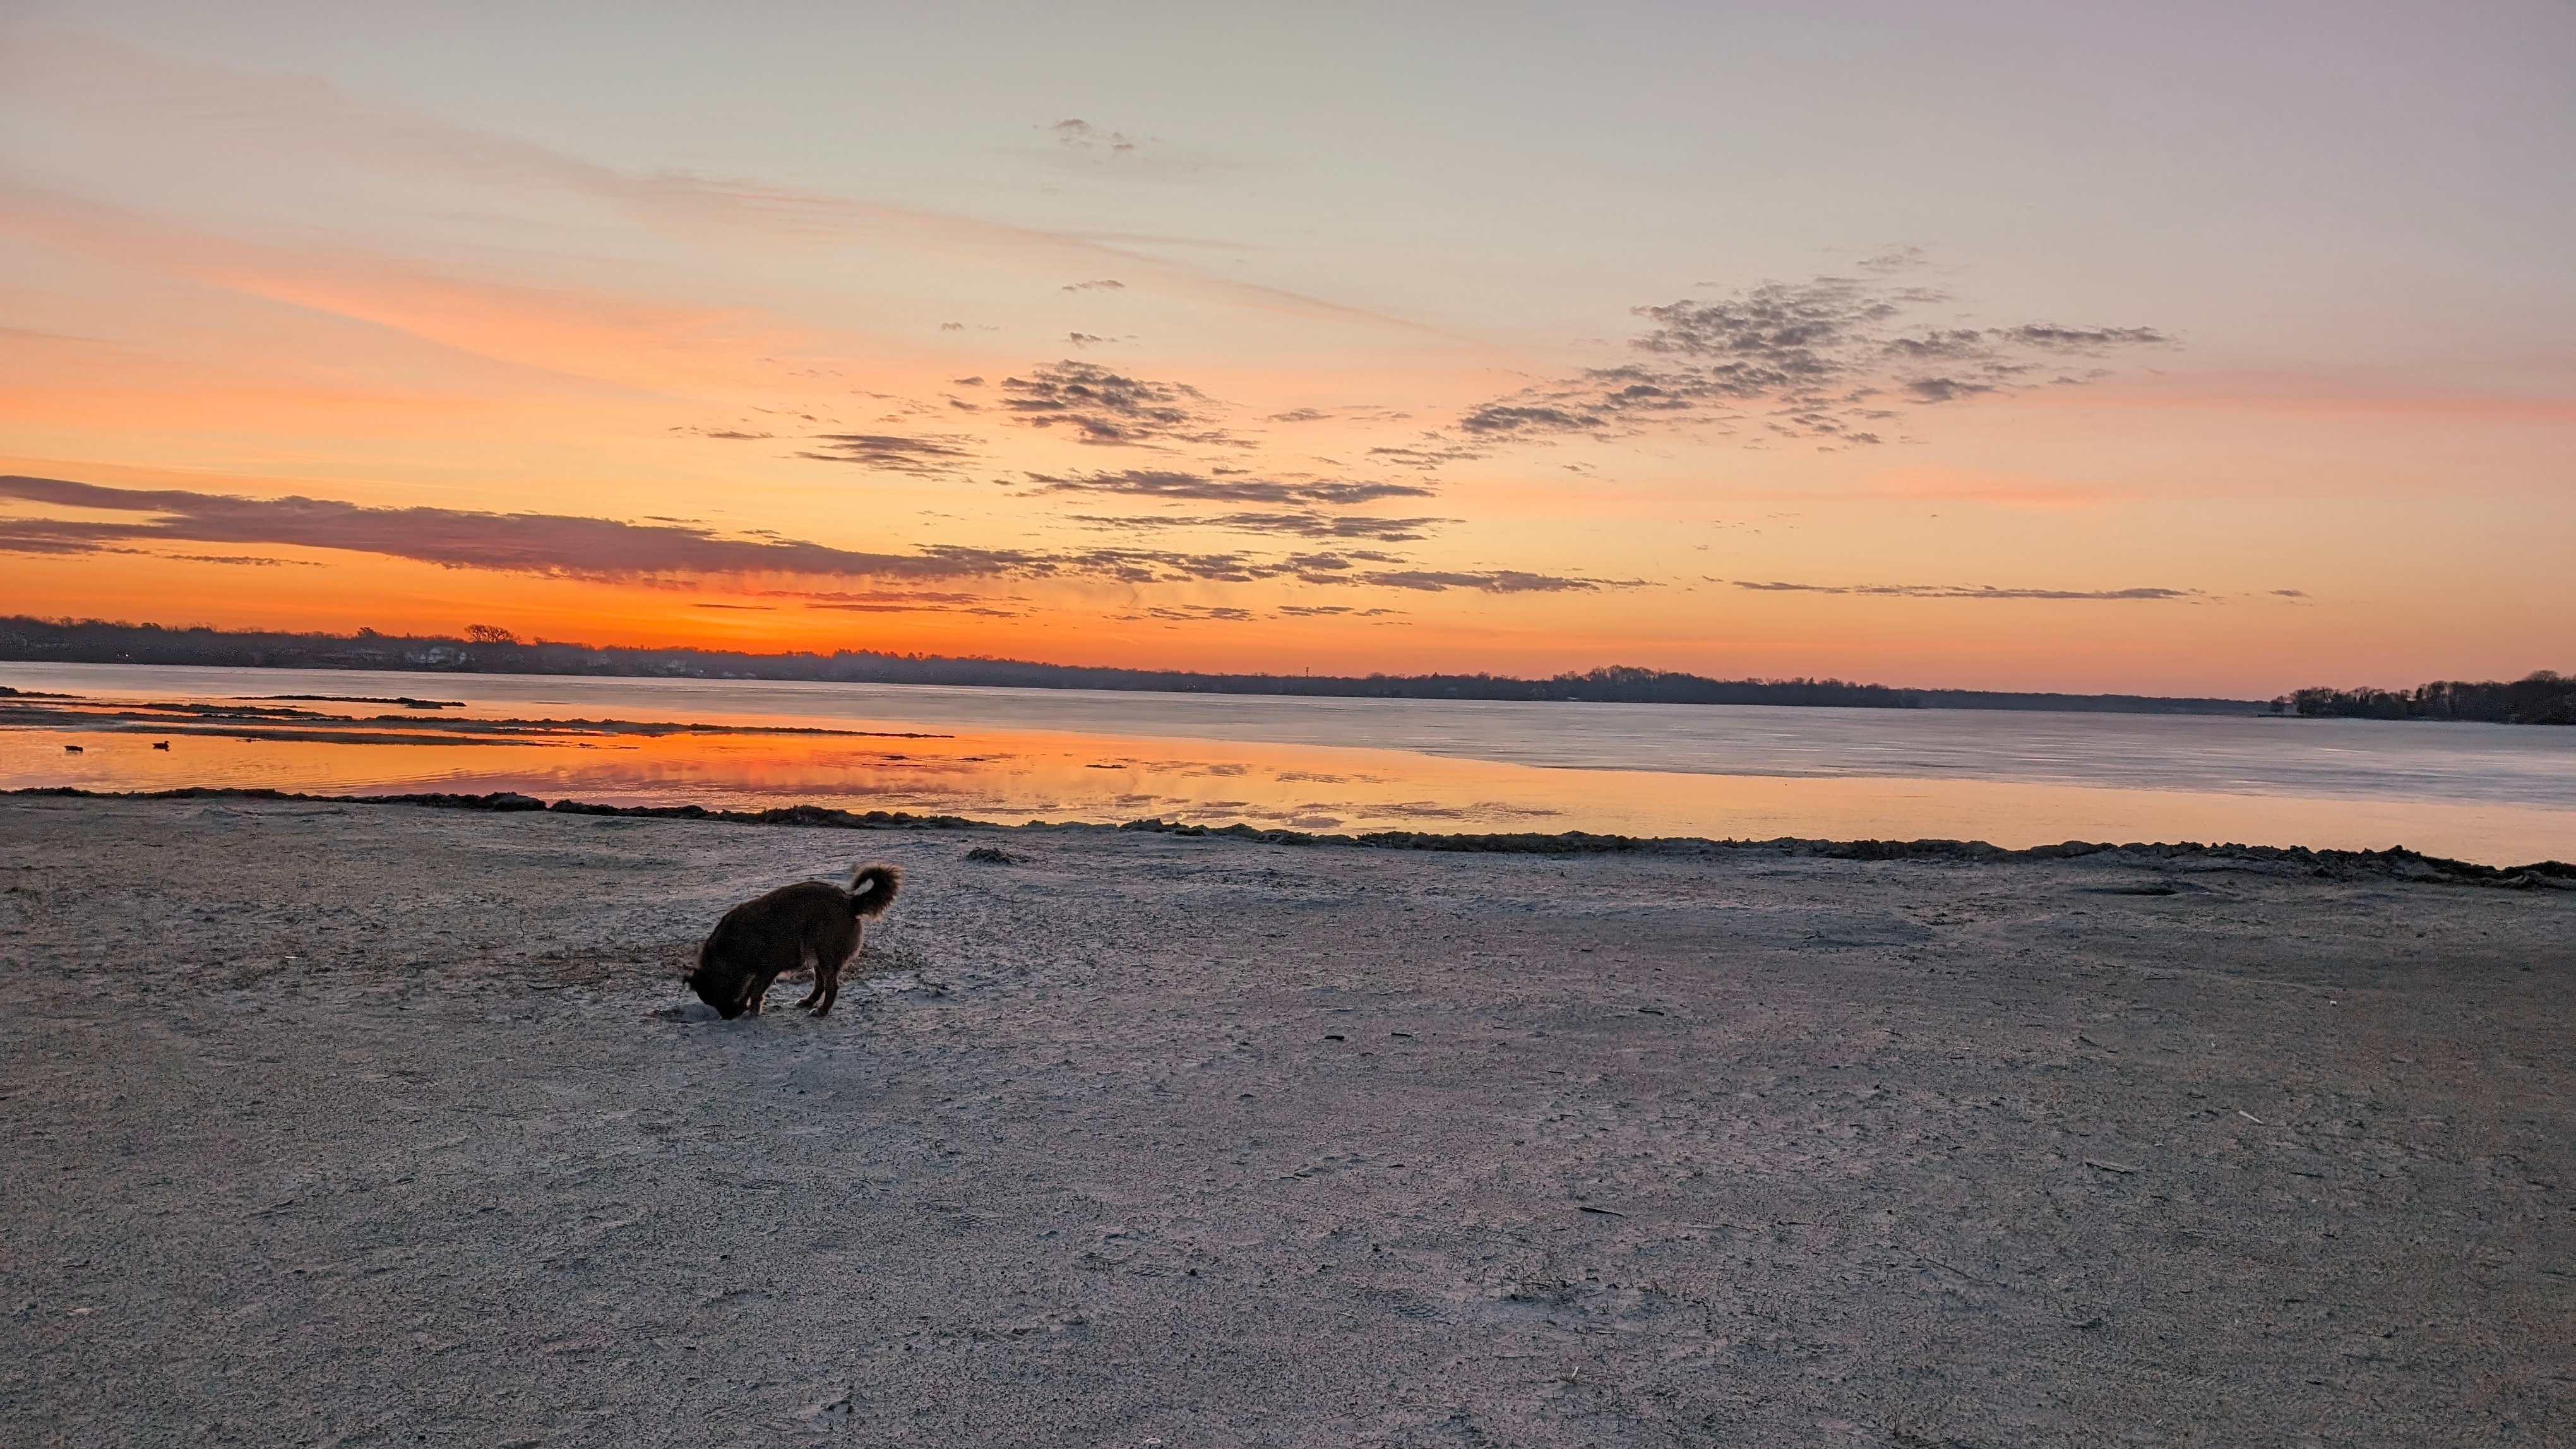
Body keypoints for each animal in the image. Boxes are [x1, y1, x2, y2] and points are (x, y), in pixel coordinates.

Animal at [690, 856, 902, 1015]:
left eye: (719, 998)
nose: (729, 1017)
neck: (731, 948)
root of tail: (849, 901)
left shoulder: (769, 967)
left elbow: (755, 989)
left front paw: (753, 1009)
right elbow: (751, 988)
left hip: (825, 953)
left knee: (832, 986)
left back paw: (822, 1011)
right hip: (816, 952)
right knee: (820, 983)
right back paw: (809, 1001)